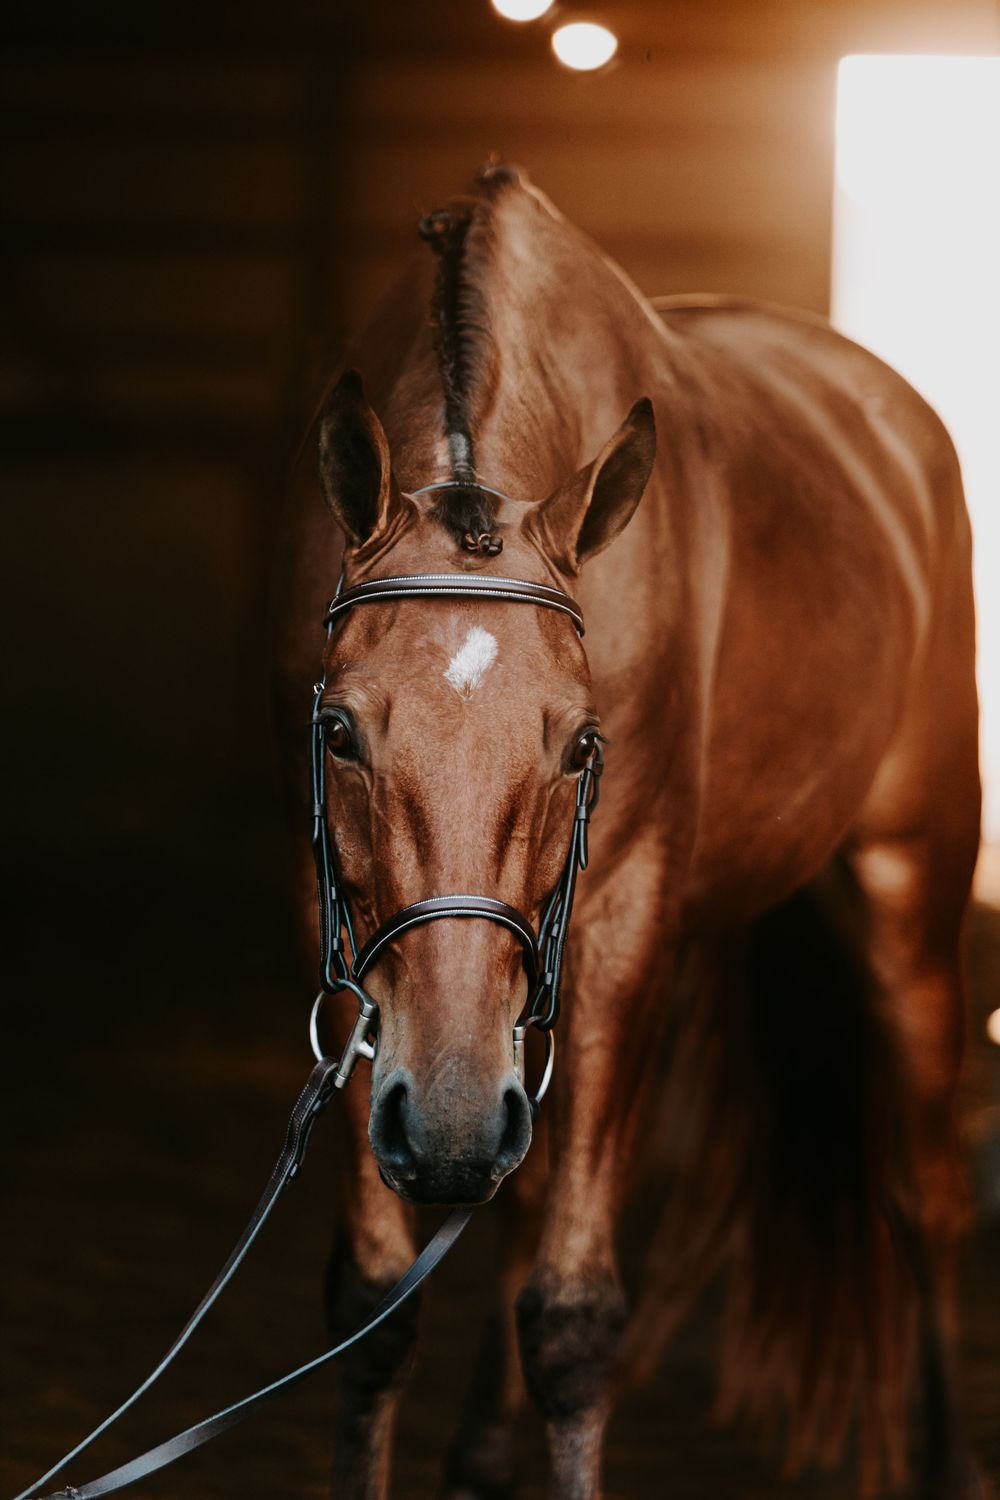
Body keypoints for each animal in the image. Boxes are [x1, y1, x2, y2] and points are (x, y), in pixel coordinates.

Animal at [270, 162, 983, 1499]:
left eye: (580, 744)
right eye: (339, 732)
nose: (447, 1127)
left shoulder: (623, 921)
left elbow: (574, 1316)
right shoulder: (337, 924)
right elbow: (379, 1307)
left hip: (908, 892)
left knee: (928, 1201)